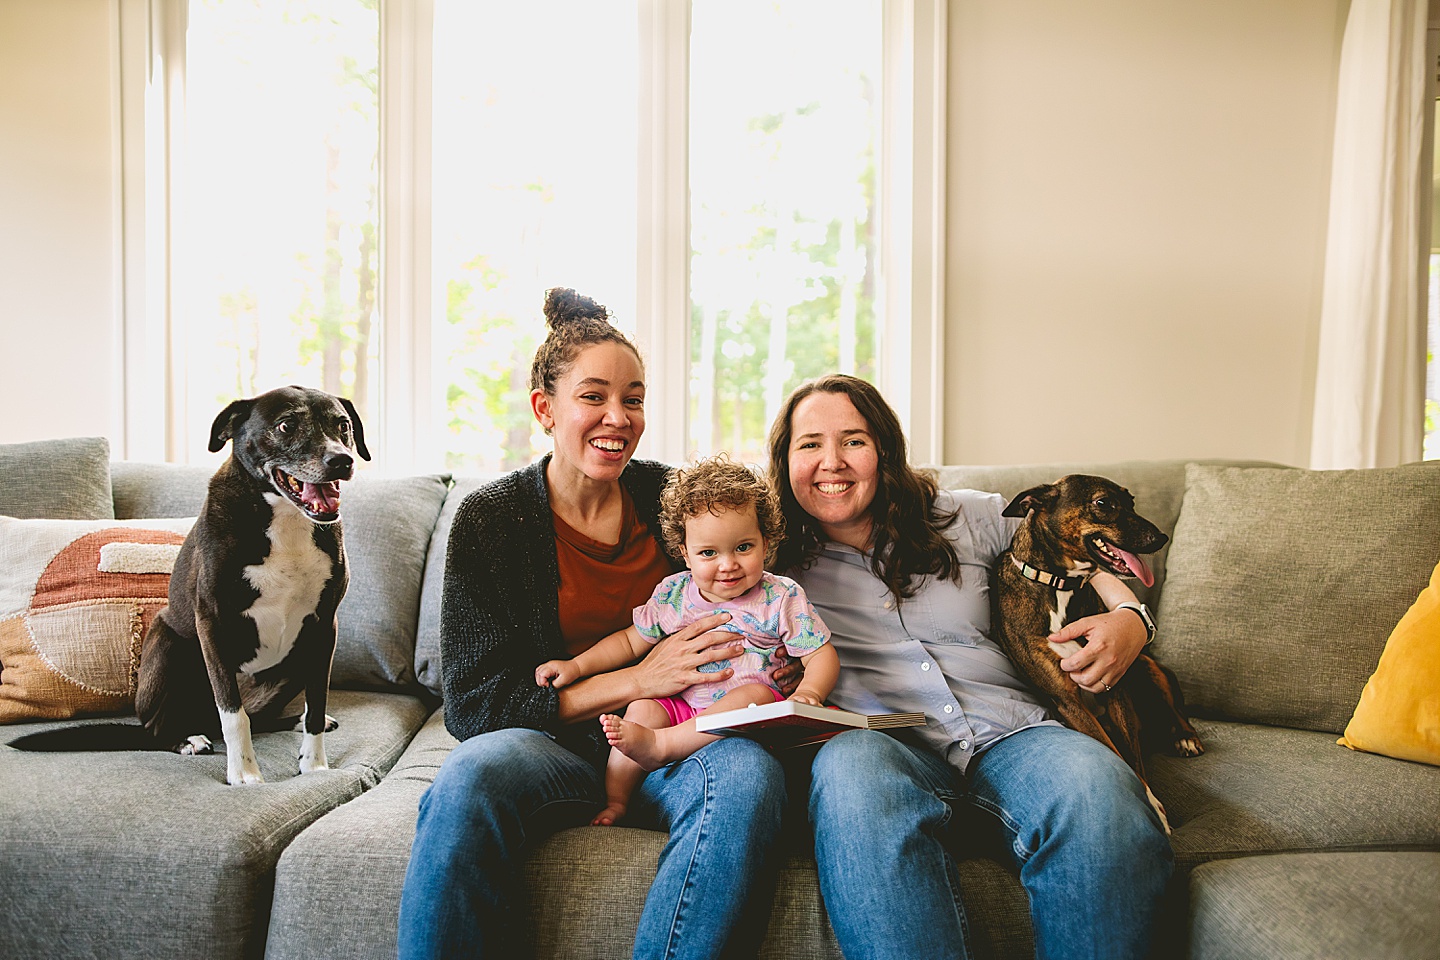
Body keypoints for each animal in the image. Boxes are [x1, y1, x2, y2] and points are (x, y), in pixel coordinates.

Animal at [990, 474, 1203, 834]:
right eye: (1103, 503)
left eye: (1132, 501)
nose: (1161, 538)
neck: (1059, 586)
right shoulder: (1068, 701)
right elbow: (1117, 754)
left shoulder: (1115, 686)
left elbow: (1132, 759)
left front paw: (1154, 805)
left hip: (1144, 665)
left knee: (1175, 708)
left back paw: (1185, 736)